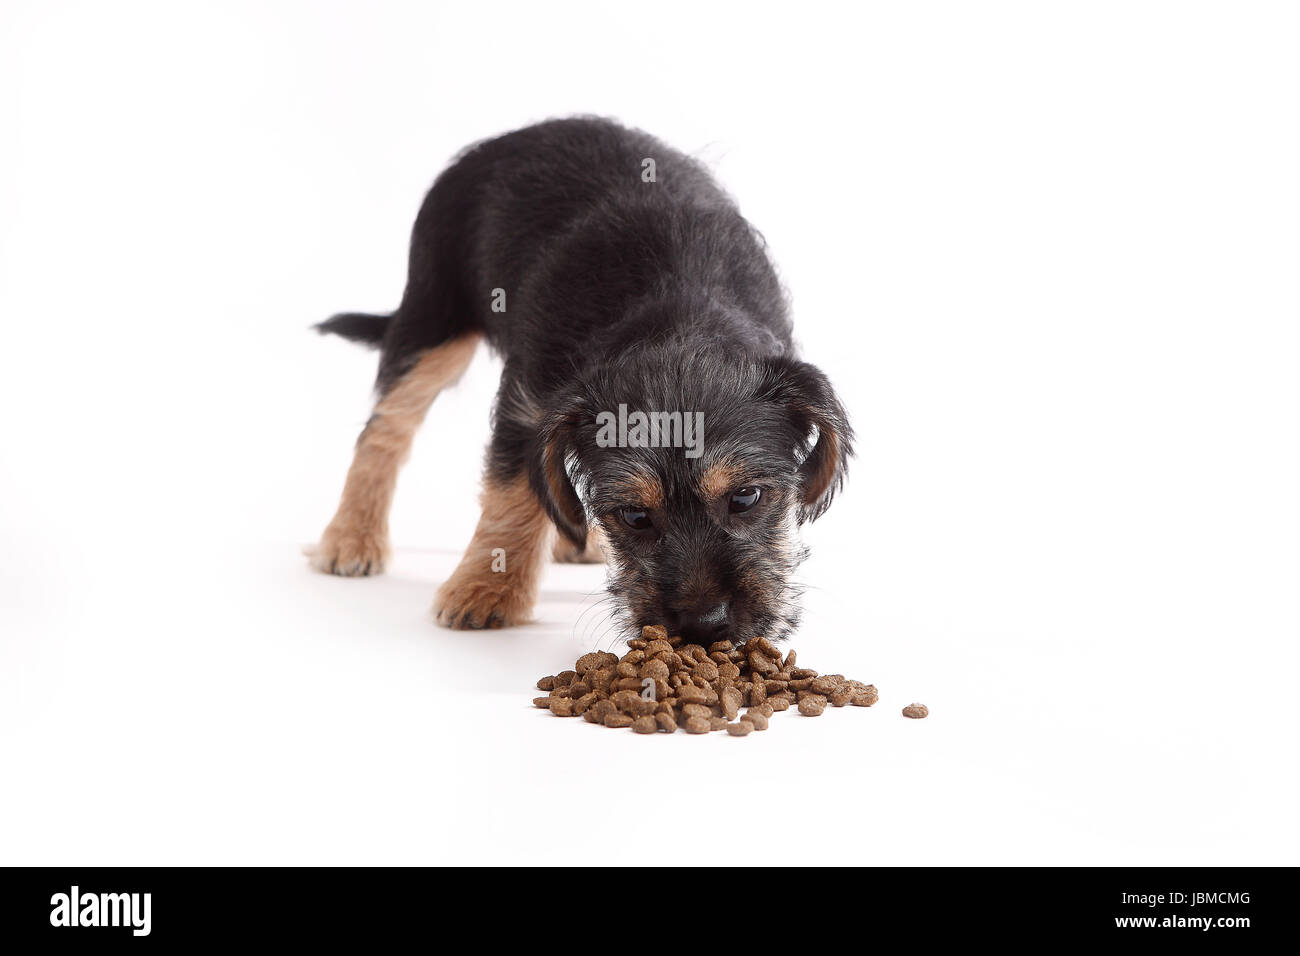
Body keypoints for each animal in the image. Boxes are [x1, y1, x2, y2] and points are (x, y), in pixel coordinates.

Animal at [308, 117, 847, 642]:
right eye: (635, 517)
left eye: (745, 498)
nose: (704, 625)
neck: (680, 314)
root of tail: (526, 130)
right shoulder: (527, 405)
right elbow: (511, 491)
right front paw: (486, 588)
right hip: (432, 317)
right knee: (386, 426)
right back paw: (351, 537)